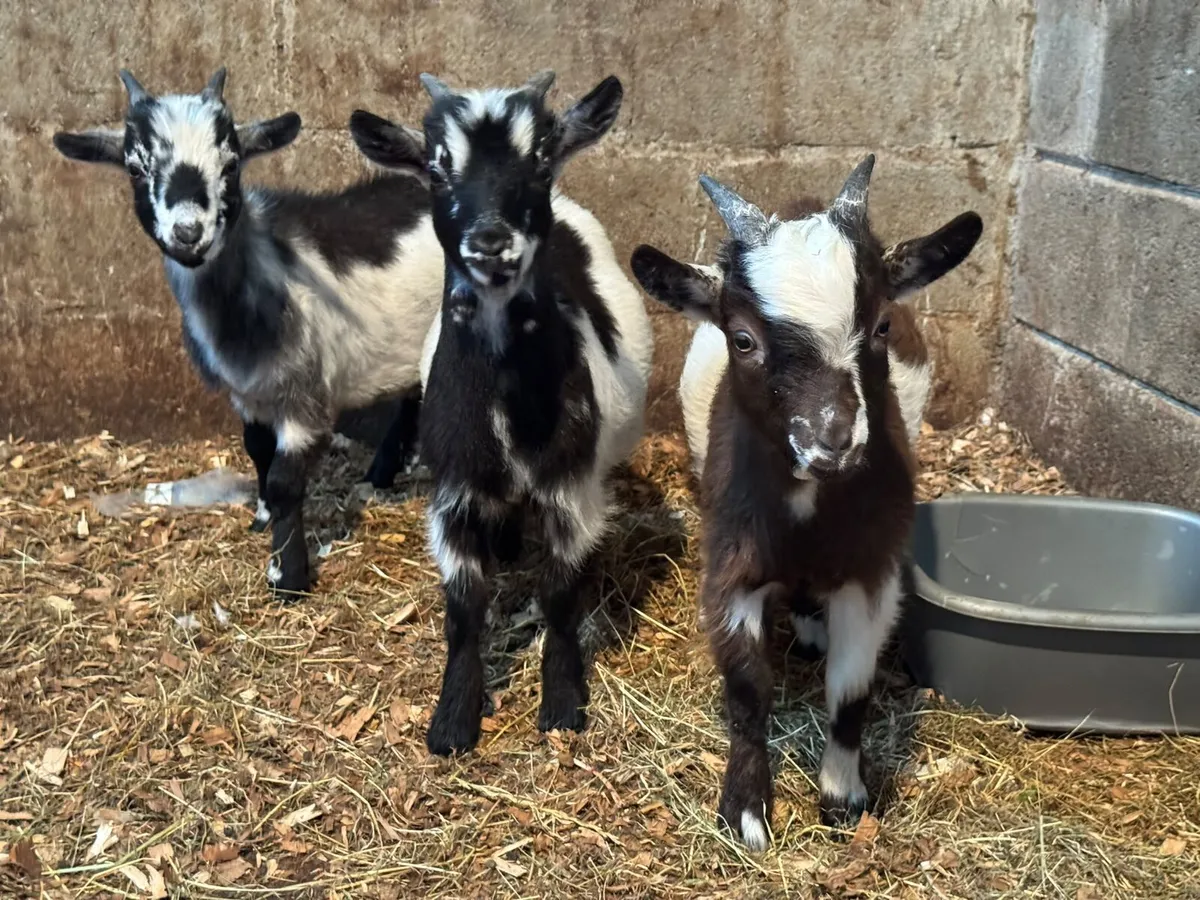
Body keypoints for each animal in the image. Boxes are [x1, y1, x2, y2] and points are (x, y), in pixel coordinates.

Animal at [53, 68, 443, 599]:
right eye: (134, 168)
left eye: (232, 163)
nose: (188, 234)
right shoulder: (250, 395)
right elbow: (257, 451)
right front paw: (261, 521)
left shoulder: (305, 398)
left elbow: (283, 481)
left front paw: (287, 577)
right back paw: (381, 473)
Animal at [349, 70, 653, 756]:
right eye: (437, 165)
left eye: (538, 158)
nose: (491, 243)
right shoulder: (454, 491)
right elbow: (464, 609)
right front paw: (452, 721)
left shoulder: (571, 489)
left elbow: (561, 598)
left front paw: (563, 704)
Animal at [631, 156, 982, 849]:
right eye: (743, 339)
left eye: (879, 325)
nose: (834, 441)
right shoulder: (730, 566)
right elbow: (747, 691)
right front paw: (745, 812)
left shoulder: (872, 574)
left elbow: (849, 692)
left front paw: (843, 797)